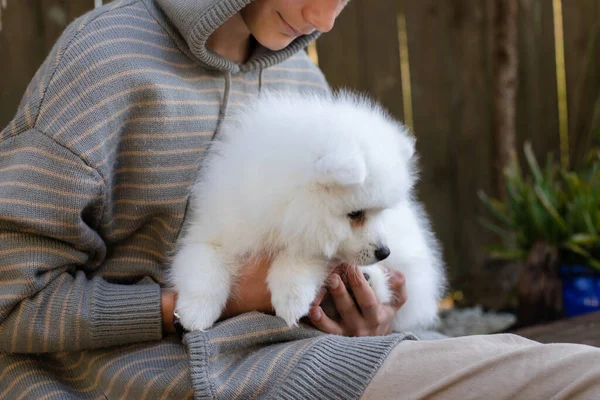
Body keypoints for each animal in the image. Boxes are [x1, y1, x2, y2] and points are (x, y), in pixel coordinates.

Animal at [171, 90, 442, 332]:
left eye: (381, 212)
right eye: (356, 214)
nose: (384, 252)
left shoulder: (310, 239)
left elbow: (299, 258)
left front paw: (291, 298)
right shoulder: (217, 230)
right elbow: (204, 267)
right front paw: (194, 312)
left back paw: (369, 280)